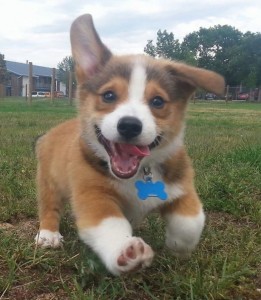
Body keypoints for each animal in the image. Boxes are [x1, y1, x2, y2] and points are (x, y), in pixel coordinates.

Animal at [34, 15, 224, 276]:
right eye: (109, 96)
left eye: (158, 101)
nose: (130, 126)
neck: (140, 173)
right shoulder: (94, 196)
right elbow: (111, 225)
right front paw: (125, 251)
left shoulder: (183, 186)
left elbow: (191, 221)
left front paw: (178, 245)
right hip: (49, 182)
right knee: (49, 206)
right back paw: (48, 235)